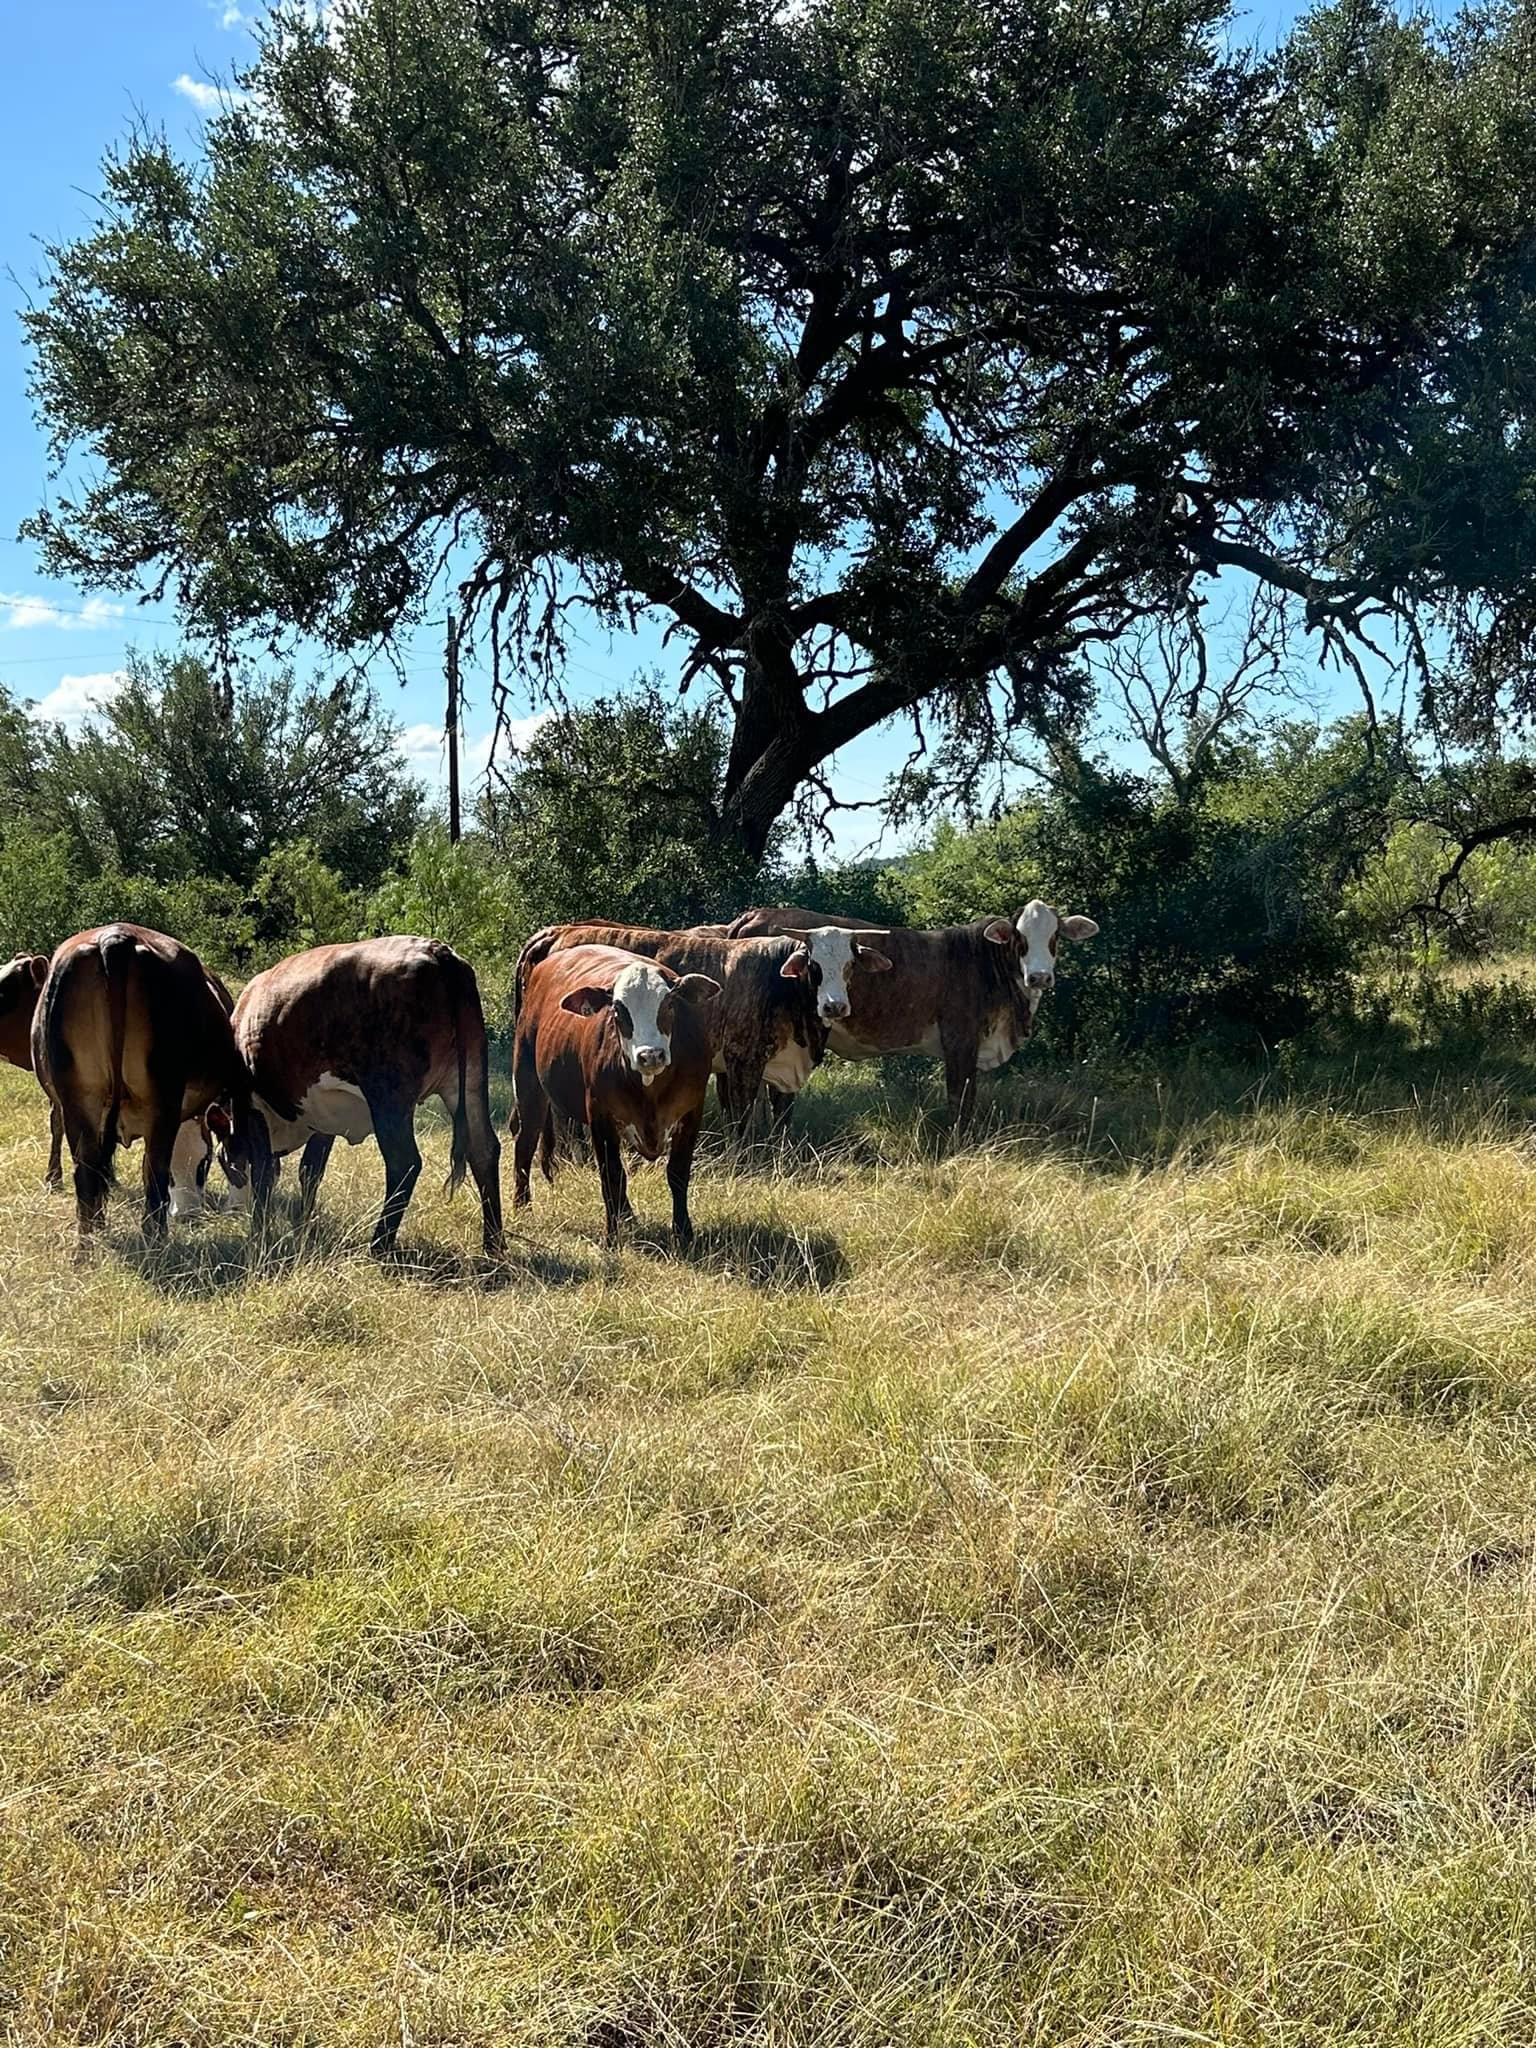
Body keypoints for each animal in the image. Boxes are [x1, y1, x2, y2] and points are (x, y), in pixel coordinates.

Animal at [30, 929, 268, 1245]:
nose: (188, 1215)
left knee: (87, 1176)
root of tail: (115, 938)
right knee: (154, 1176)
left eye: (202, 1163)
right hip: (159, 1104)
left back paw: (89, 1244)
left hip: (79, 1103)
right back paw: (156, 1240)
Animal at [225, 937, 501, 1253]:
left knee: (404, 1162)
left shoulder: (252, 1105)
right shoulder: (322, 1119)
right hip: (468, 1080)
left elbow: (263, 1174)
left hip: (388, 1095)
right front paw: (302, 1227)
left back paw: (379, 1244)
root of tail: (435, 950)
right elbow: (309, 1171)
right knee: (483, 1150)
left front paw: (259, 1234)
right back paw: (493, 1245)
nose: (232, 1210)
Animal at [512, 942, 716, 1245]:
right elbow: (612, 1174)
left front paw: (683, 1233)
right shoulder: (601, 1115)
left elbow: (678, 1173)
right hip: (529, 1086)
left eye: (669, 1003)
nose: (650, 1055)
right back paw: (522, 1206)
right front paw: (612, 1234)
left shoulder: (691, 1112)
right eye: (618, 1010)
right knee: (524, 1145)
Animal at [514, 925, 831, 1138]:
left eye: (843, 968)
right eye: (814, 966)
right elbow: (740, 1118)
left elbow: (780, 1117)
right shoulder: (743, 1060)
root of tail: (558, 931)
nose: (834, 1005)